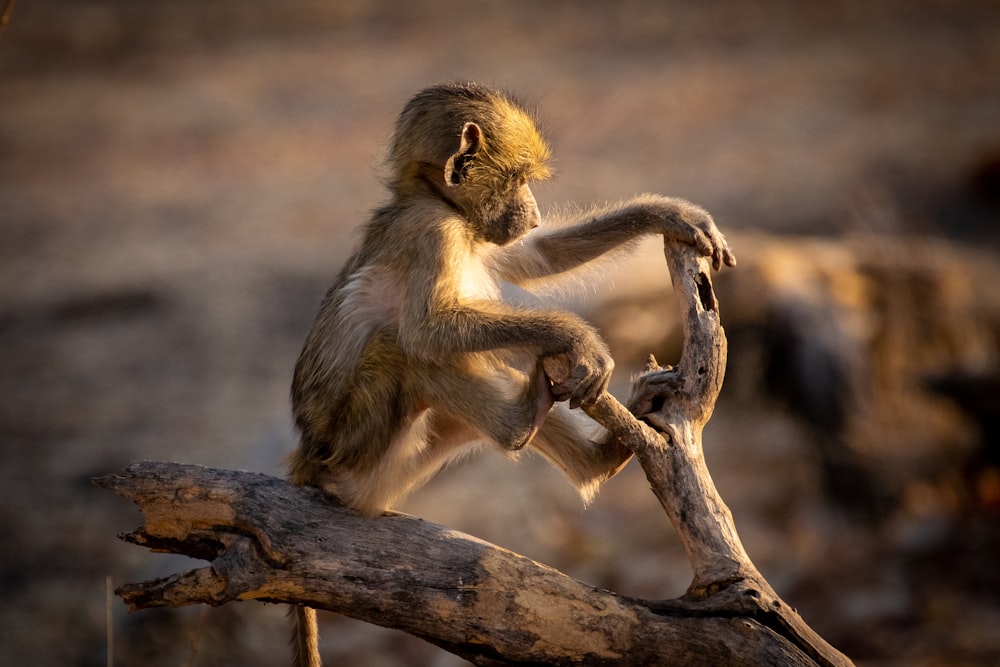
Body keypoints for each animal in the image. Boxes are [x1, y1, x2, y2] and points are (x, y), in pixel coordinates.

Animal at [286, 83, 740, 667]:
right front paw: (579, 338)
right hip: (359, 448)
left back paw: (598, 455)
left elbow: (534, 258)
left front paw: (667, 213)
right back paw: (521, 423)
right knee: (407, 349)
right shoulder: (433, 231)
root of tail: (310, 459)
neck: (437, 202)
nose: (534, 212)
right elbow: (430, 328)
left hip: (405, 462)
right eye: (518, 179)